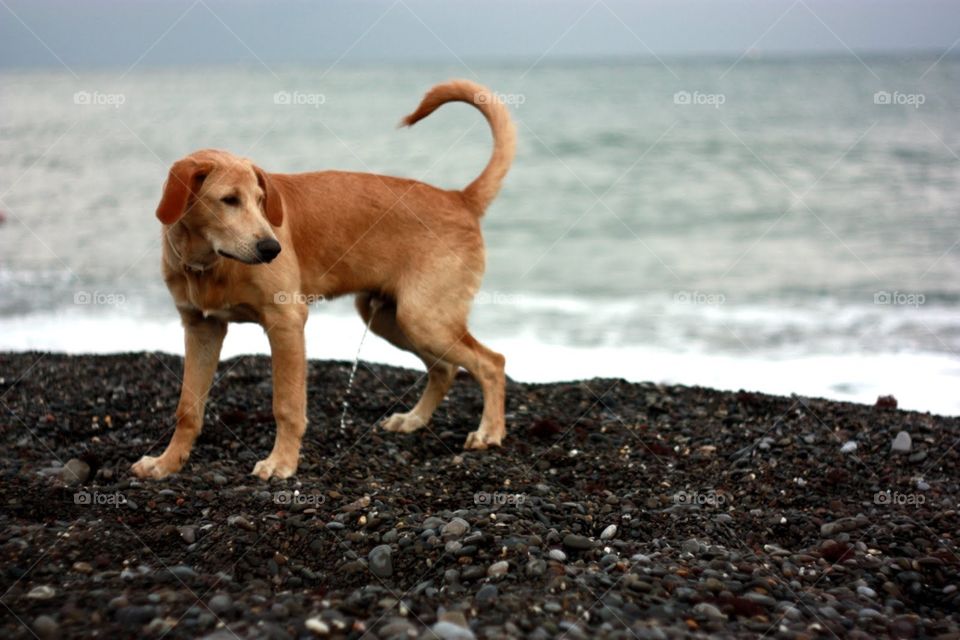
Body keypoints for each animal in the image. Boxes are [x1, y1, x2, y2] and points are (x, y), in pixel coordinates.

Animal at [133, 79, 516, 480]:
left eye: (260, 199)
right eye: (228, 200)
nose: (272, 249)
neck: (211, 263)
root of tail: (460, 199)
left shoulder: (286, 321)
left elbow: (286, 405)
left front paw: (281, 462)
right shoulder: (201, 328)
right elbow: (187, 408)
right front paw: (167, 463)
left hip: (424, 319)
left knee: (492, 363)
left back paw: (489, 432)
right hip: (391, 319)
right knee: (445, 368)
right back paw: (413, 420)